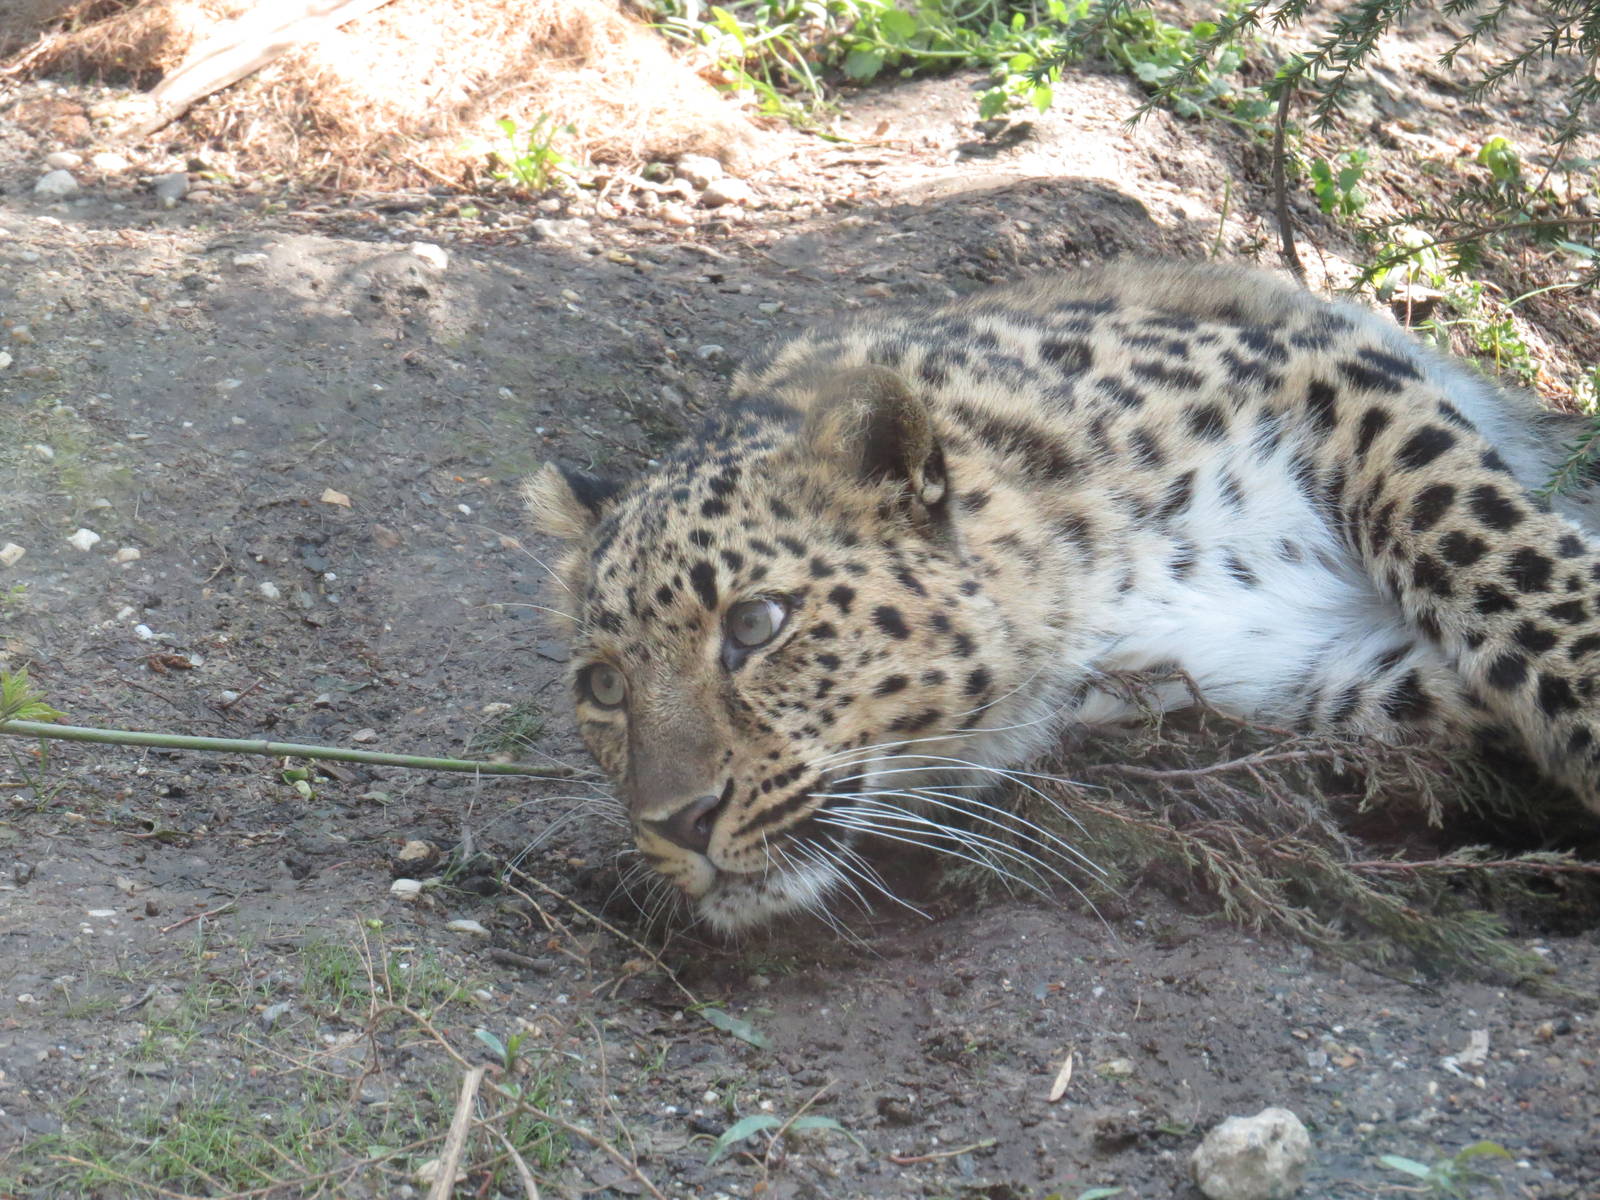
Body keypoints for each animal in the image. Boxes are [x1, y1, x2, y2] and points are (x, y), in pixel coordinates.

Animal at [526, 260, 1600, 934]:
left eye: (755, 625)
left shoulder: (1338, 383)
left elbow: (1504, 561)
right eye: (605, 688)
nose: (676, 822)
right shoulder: (1308, 674)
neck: (1085, 591)